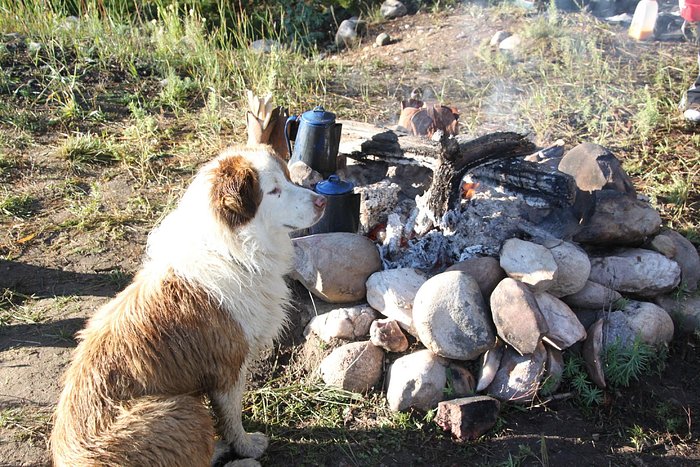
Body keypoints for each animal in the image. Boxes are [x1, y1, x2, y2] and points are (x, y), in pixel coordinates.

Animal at [49, 144, 328, 466]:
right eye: (273, 190)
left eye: (289, 178)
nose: (322, 201)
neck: (233, 249)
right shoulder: (229, 366)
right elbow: (231, 417)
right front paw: (246, 446)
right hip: (183, 409)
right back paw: (239, 459)